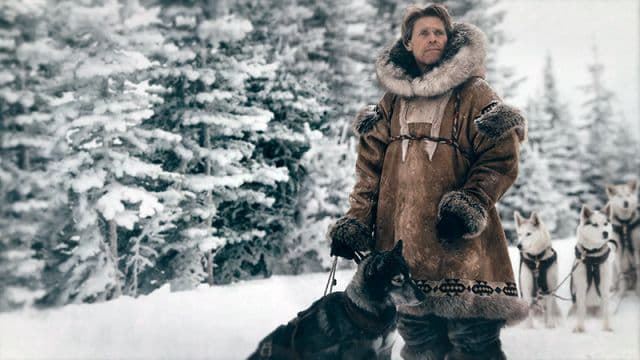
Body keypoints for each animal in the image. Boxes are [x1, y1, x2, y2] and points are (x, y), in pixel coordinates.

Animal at [248, 239, 422, 360]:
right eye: (397, 280)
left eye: (410, 276)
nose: (423, 295)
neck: (369, 312)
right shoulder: (363, 354)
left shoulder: (384, 351)